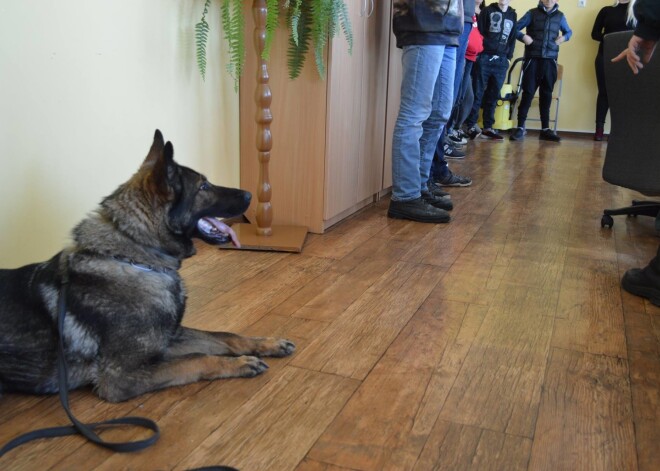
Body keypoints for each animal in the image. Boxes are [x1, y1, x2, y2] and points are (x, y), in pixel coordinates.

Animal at [0, 131, 296, 404]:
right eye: (203, 187)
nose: (249, 193)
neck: (138, 258)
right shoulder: (121, 377)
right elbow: (198, 358)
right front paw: (238, 363)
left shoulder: (170, 336)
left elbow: (225, 336)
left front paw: (265, 343)